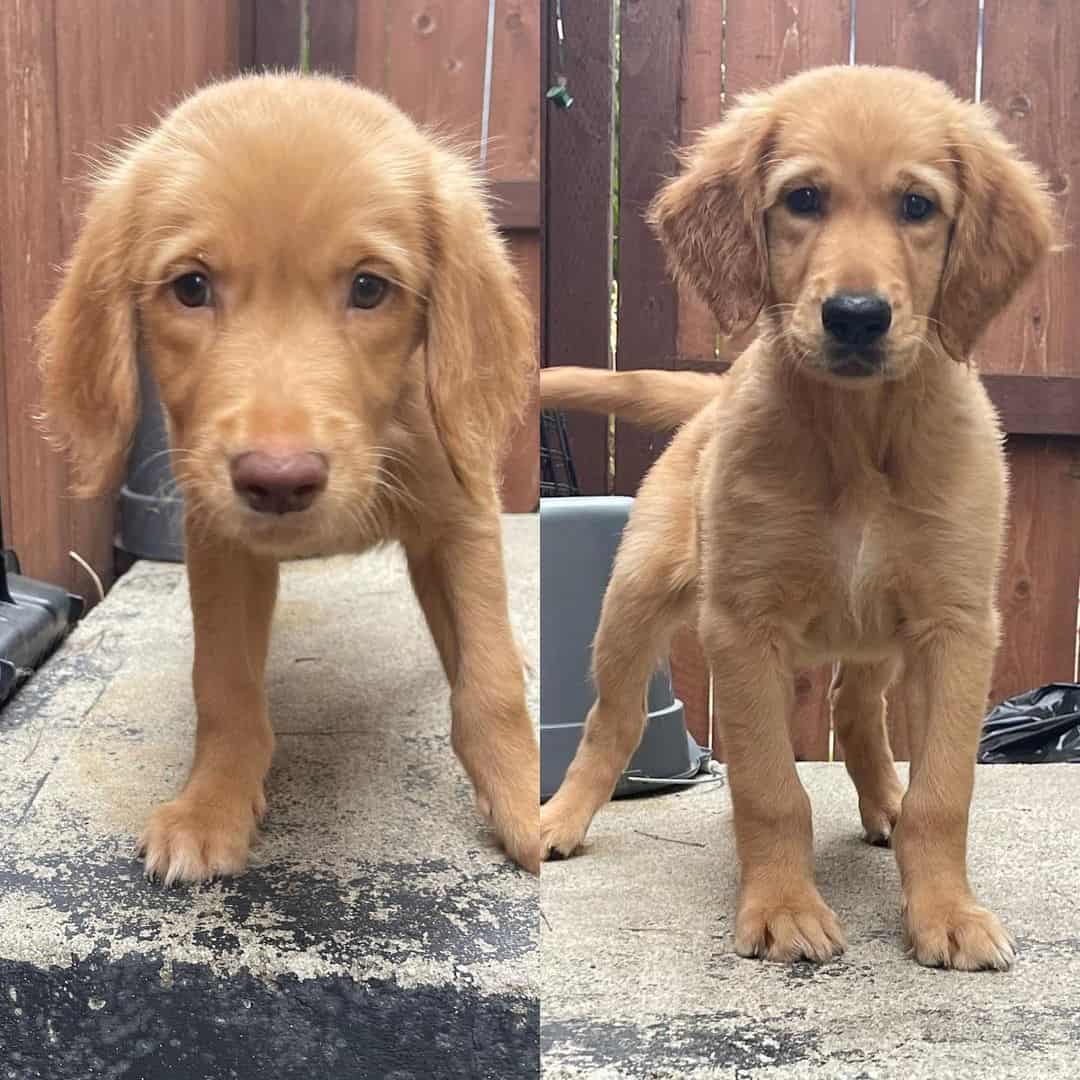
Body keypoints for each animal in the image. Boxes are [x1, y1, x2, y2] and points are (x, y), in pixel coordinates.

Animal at [39, 71, 540, 881]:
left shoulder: (464, 518)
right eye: (191, 287)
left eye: (369, 288)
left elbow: (489, 679)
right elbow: (224, 684)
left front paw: (526, 796)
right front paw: (210, 806)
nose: (279, 480)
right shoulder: (218, 541)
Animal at [540, 67, 1054, 972]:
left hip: (880, 629)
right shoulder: (743, 626)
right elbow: (770, 788)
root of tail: (710, 392)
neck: (857, 434)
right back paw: (561, 820)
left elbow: (945, 791)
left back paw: (885, 804)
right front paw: (782, 907)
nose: (855, 315)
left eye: (918, 206)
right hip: (633, 599)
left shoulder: (956, 625)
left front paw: (947, 911)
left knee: (855, 709)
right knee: (613, 721)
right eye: (803, 199)